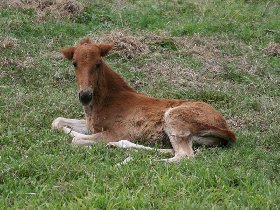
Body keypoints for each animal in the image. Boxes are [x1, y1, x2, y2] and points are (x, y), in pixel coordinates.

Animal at [52, 39, 234, 162]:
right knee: (174, 151)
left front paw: (89, 143)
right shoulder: (92, 124)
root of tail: (225, 128)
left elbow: (76, 140)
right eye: (74, 63)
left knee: (184, 155)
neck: (103, 103)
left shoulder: (117, 131)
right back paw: (117, 146)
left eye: (98, 63)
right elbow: (57, 122)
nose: (85, 96)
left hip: (174, 118)